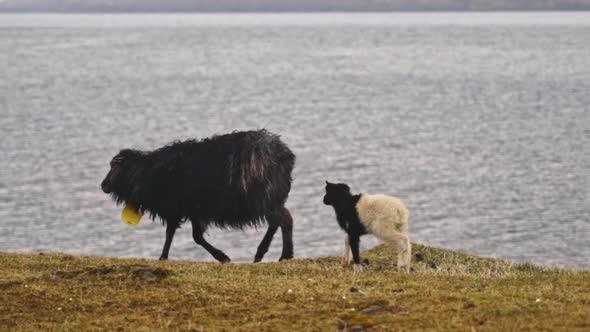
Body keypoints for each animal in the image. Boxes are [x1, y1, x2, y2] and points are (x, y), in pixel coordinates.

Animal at [102, 130, 298, 262]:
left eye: (114, 166)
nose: (103, 186)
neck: (145, 172)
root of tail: (285, 154)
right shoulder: (193, 210)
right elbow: (196, 237)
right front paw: (222, 257)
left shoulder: (174, 207)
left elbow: (172, 233)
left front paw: (163, 257)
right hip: (270, 197)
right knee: (281, 220)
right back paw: (272, 254)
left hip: (264, 196)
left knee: (282, 219)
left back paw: (275, 255)